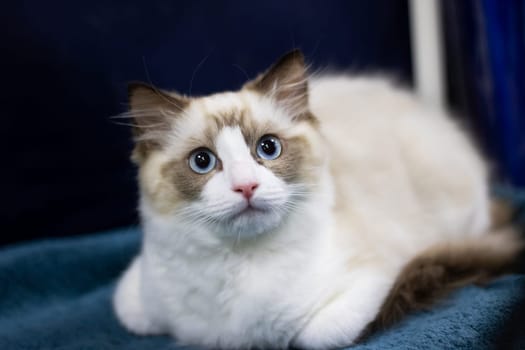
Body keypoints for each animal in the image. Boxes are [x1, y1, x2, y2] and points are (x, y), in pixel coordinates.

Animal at [113, 50, 520, 348]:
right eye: (203, 161)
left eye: (268, 148)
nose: (246, 187)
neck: (237, 263)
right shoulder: (132, 299)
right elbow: (131, 314)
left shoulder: (372, 280)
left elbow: (313, 336)